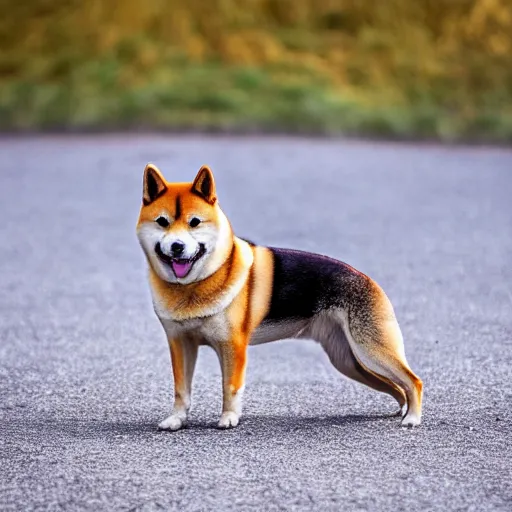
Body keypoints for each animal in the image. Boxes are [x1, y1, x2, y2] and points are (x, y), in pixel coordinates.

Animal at [136, 163, 424, 428]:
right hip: (349, 361)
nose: (177, 246)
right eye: (162, 222)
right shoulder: (180, 344)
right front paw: (176, 420)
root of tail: (369, 280)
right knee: (397, 387)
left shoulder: (232, 347)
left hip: (371, 351)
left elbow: (230, 388)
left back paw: (412, 418)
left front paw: (229, 418)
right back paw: (402, 412)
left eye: (195, 222)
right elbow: (181, 389)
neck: (195, 285)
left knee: (414, 382)